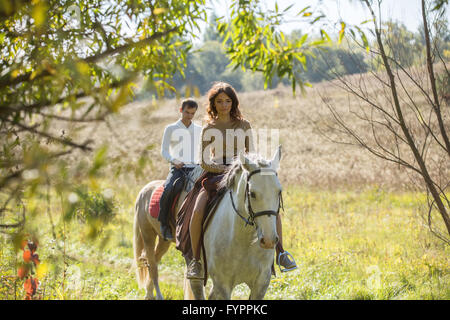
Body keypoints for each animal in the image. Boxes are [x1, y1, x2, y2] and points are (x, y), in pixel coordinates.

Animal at [133, 166, 203, 298]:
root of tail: (143, 191)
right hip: (148, 235)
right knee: (153, 267)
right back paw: (157, 296)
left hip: (163, 241)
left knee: (153, 261)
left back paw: (149, 294)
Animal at [185, 148, 284, 300]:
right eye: (252, 193)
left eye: (279, 191)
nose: (269, 241)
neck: (244, 239)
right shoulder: (222, 284)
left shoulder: (261, 282)